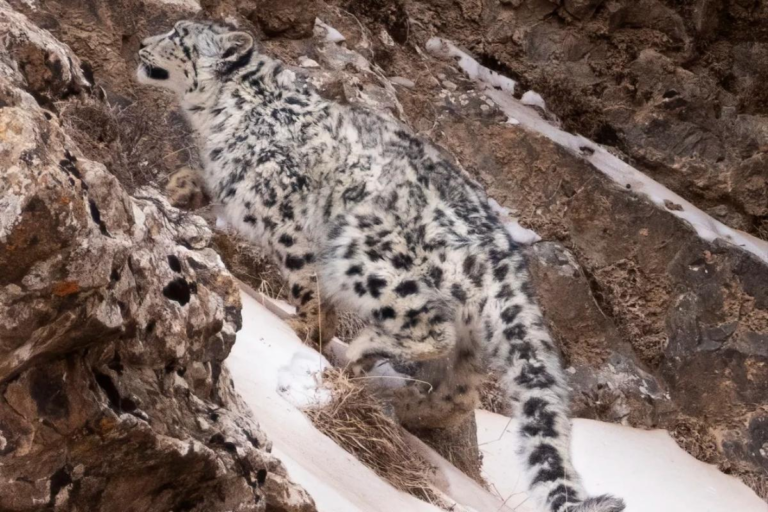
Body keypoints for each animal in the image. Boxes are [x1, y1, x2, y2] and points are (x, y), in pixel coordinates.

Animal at [137, 20, 626, 512]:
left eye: (178, 35)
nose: (141, 44)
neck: (218, 113)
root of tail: (502, 257)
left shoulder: (285, 216)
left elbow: (307, 285)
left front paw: (303, 331)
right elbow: (200, 182)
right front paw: (176, 189)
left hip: (365, 252)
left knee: (428, 329)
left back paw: (360, 351)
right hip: (473, 341)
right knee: (458, 394)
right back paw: (402, 401)